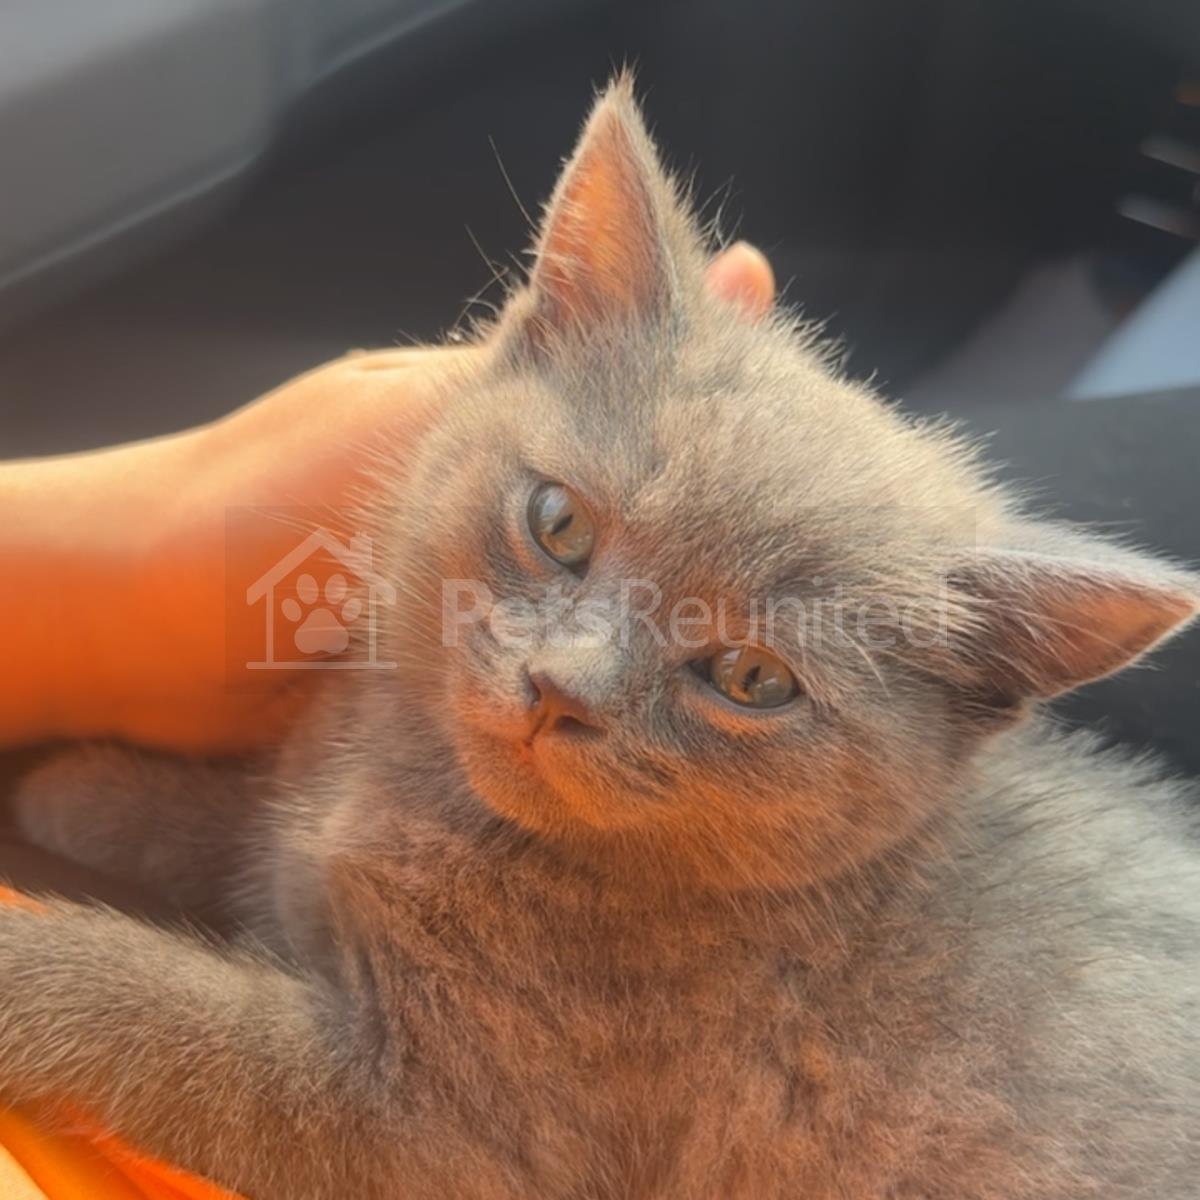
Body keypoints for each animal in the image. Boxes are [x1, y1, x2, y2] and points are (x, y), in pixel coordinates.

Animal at [3, 74, 1199, 1199]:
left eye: (751, 677)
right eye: (560, 524)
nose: (559, 687)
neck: (417, 801)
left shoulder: (439, 1136)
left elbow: (167, 1013)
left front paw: (30, 956)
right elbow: (241, 815)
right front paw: (84, 788)